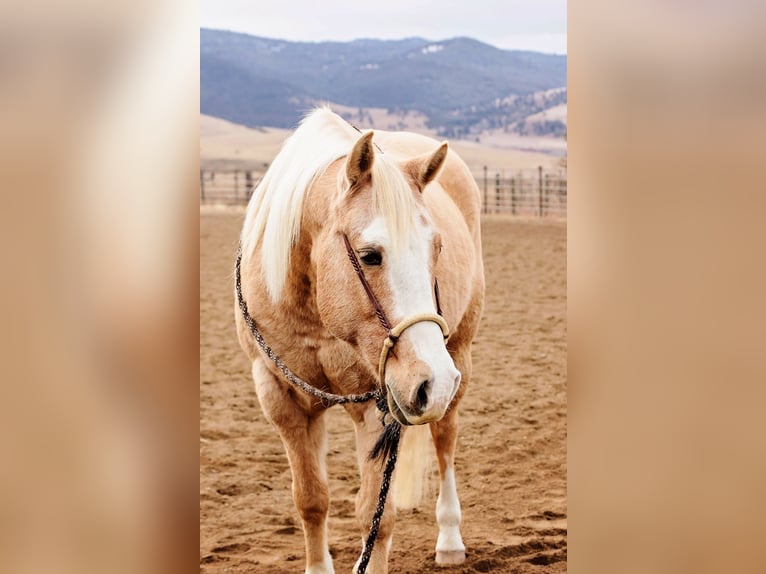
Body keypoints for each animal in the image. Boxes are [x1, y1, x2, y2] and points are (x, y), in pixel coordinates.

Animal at [235, 107, 485, 573]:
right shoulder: (280, 398)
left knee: (445, 441)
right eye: (370, 255)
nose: (433, 381)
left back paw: (449, 539)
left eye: (437, 248)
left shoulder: (378, 402)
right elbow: (311, 500)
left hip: (458, 355)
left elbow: (376, 516)